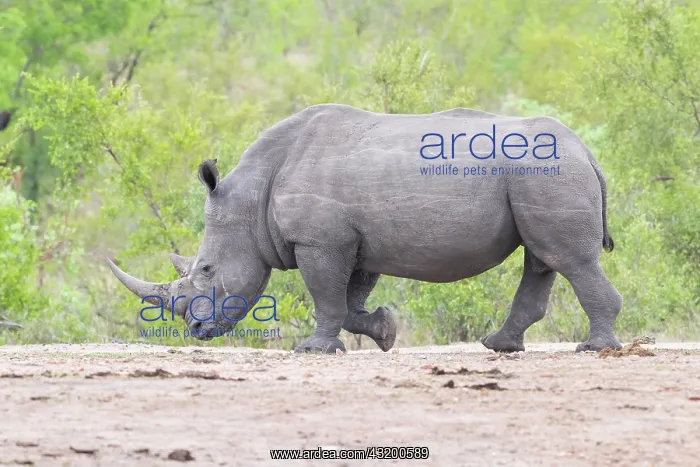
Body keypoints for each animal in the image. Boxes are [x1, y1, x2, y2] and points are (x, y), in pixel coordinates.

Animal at [108, 104, 623, 353]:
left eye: (207, 270)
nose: (196, 328)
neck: (251, 199)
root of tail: (586, 150)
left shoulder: (319, 240)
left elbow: (326, 296)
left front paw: (314, 350)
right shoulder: (355, 240)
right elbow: (350, 301)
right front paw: (386, 332)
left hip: (547, 173)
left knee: (567, 259)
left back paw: (593, 348)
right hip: (540, 174)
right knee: (542, 258)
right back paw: (500, 347)